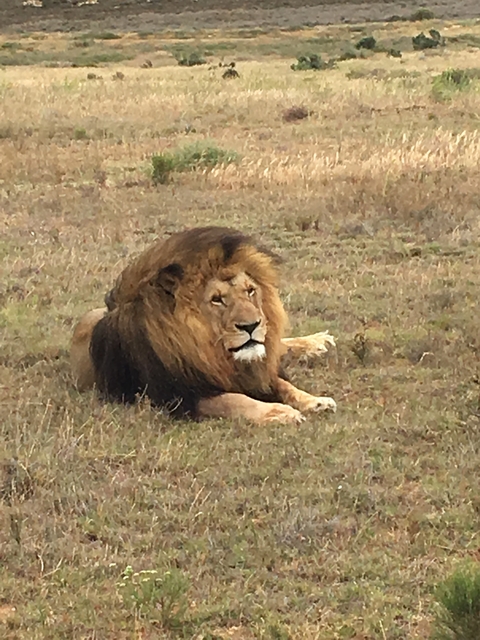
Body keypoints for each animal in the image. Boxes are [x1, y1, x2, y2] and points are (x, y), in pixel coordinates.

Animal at [70, 227, 336, 425]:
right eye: (217, 299)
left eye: (250, 291)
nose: (252, 326)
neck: (212, 352)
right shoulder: (180, 396)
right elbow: (235, 400)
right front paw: (279, 411)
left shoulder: (259, 369)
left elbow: (284, 383)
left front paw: (314, 400)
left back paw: (318, 342)